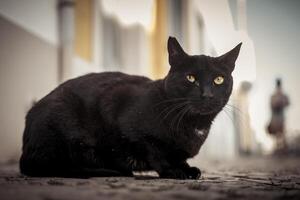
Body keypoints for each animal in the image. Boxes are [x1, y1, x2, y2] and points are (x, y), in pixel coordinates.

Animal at [19, 36, 241, 179]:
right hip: (66, 124)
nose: (207, 94)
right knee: (54, 165)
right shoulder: (119, 110)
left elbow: (177, 157)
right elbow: (155, 152)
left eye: (219, 79)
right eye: (191, 78)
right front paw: (173, 171)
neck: (194, 125)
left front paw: (186, 168)